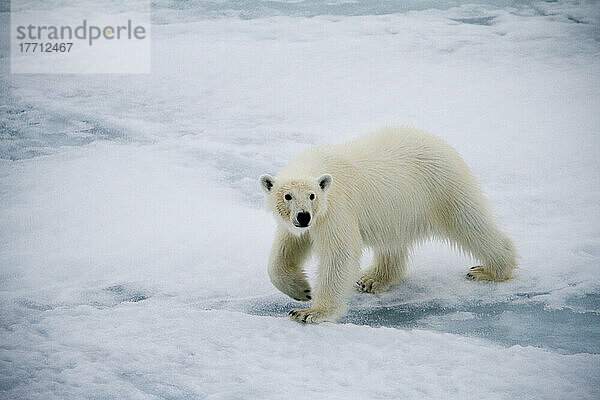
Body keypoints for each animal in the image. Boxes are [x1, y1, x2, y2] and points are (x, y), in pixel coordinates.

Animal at [258, 128, 516, 324]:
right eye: (287, 196)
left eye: (312, 195)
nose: (303, 217)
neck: (316, 163)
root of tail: (441, 143)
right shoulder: (301, 223)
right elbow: (286, 249)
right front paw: (301, 289)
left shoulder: (336, 207)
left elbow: (339, 253)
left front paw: (310, 312)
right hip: (399, 211)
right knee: (392, 243)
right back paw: (373, 279)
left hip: (443, 187)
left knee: (470, 223)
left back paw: (489, 270)